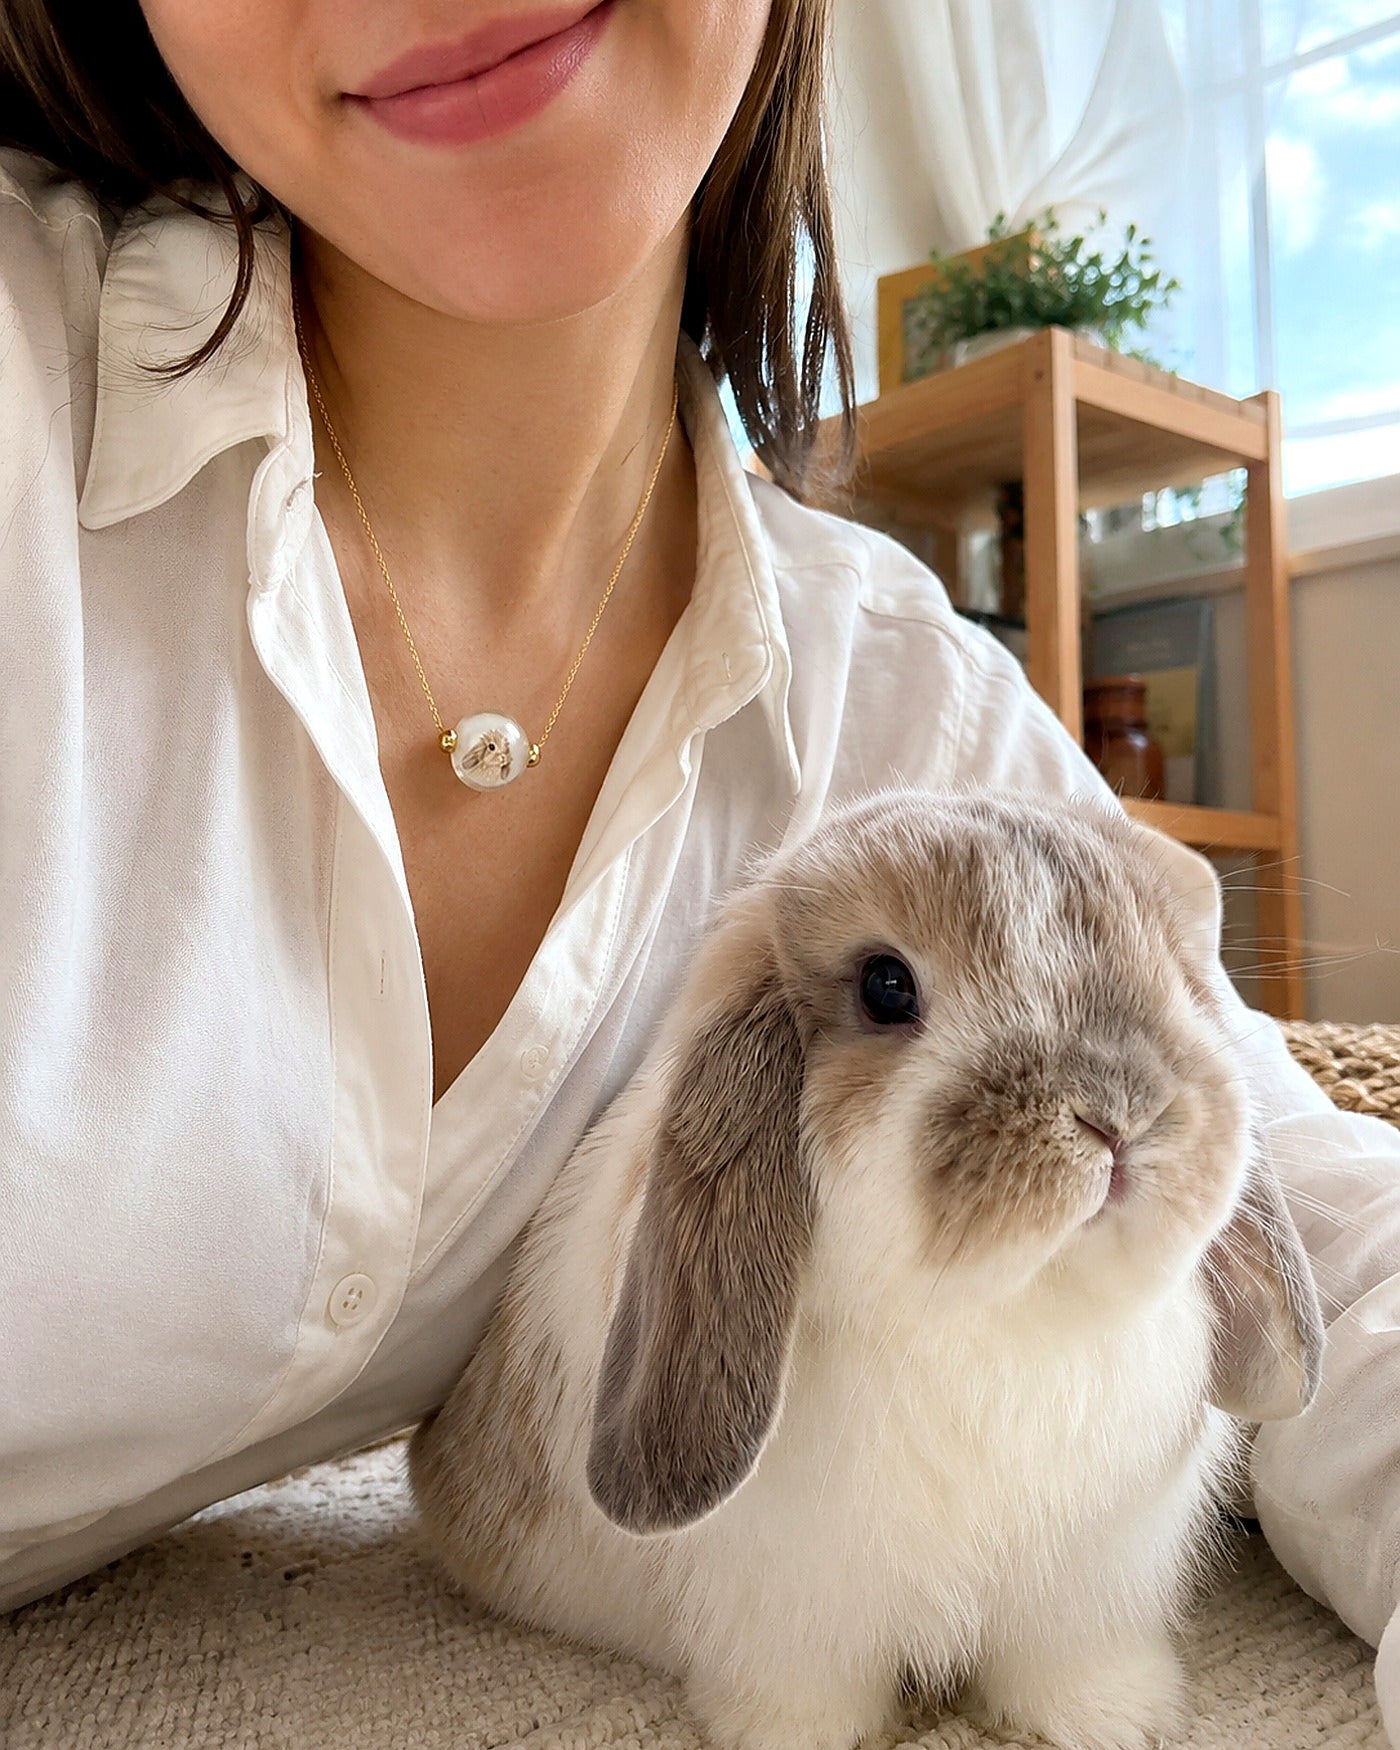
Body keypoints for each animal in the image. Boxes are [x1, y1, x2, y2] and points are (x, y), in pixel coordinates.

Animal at [409, 788, 1324, 1750]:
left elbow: (1065, 1664)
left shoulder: (1081, 1588)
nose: (1119, 1115)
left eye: (1179, 977)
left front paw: (1114, 1720)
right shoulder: (793, 1610)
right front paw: (800, 1736)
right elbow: (804, 1688)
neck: (1002, 1315)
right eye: (887, 986)